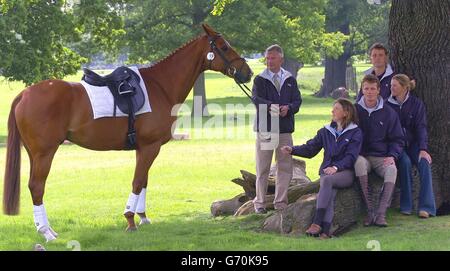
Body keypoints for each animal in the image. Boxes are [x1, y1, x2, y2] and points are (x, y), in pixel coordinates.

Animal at [2, 24, 253, 242]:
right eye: (224, 46)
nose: (247, 72)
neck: (160, 86)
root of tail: (24, 94)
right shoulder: (150, 146)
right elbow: (137, 181)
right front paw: (131, 220)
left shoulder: (144, 148)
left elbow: (144, 181)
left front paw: (143, 217)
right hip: (45, 153)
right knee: (37, 186)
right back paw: (46, 232)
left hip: (34, 153)